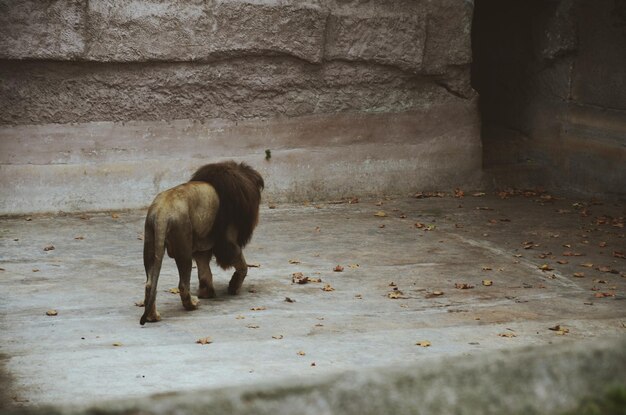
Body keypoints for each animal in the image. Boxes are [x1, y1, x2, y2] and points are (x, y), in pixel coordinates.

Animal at [140, 161, 264, 326]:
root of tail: (162, 212)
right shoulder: (228, 240)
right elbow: (242, 265)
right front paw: (233, 286)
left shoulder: (202, 246)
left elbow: (204, 272)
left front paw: (207, 292)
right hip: (183, 246)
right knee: (183, 284)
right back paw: (192, 304)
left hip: (150, 241)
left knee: (149, 284)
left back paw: (153, 316)